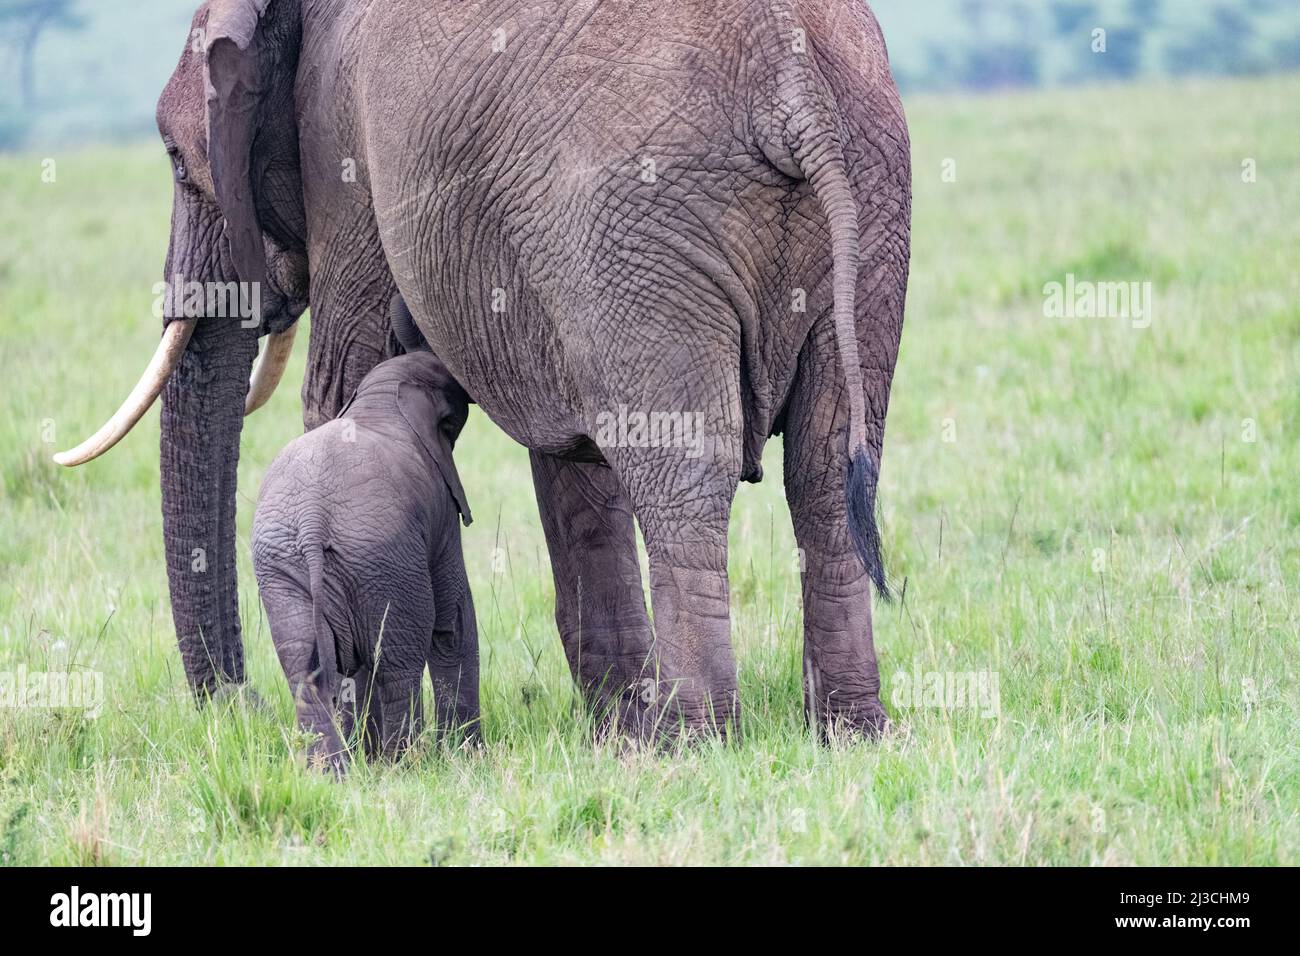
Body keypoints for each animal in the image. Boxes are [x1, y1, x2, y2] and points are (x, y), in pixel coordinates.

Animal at [253, 295, 478, 764]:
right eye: (451, 425)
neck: (379, 399)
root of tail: (311, 521)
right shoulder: (441, 511)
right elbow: (454, 618)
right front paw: (468, 755)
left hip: (285, 572)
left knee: (305, 673)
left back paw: (332, 771)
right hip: (384, 560)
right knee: (398, 666)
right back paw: (402, 765)